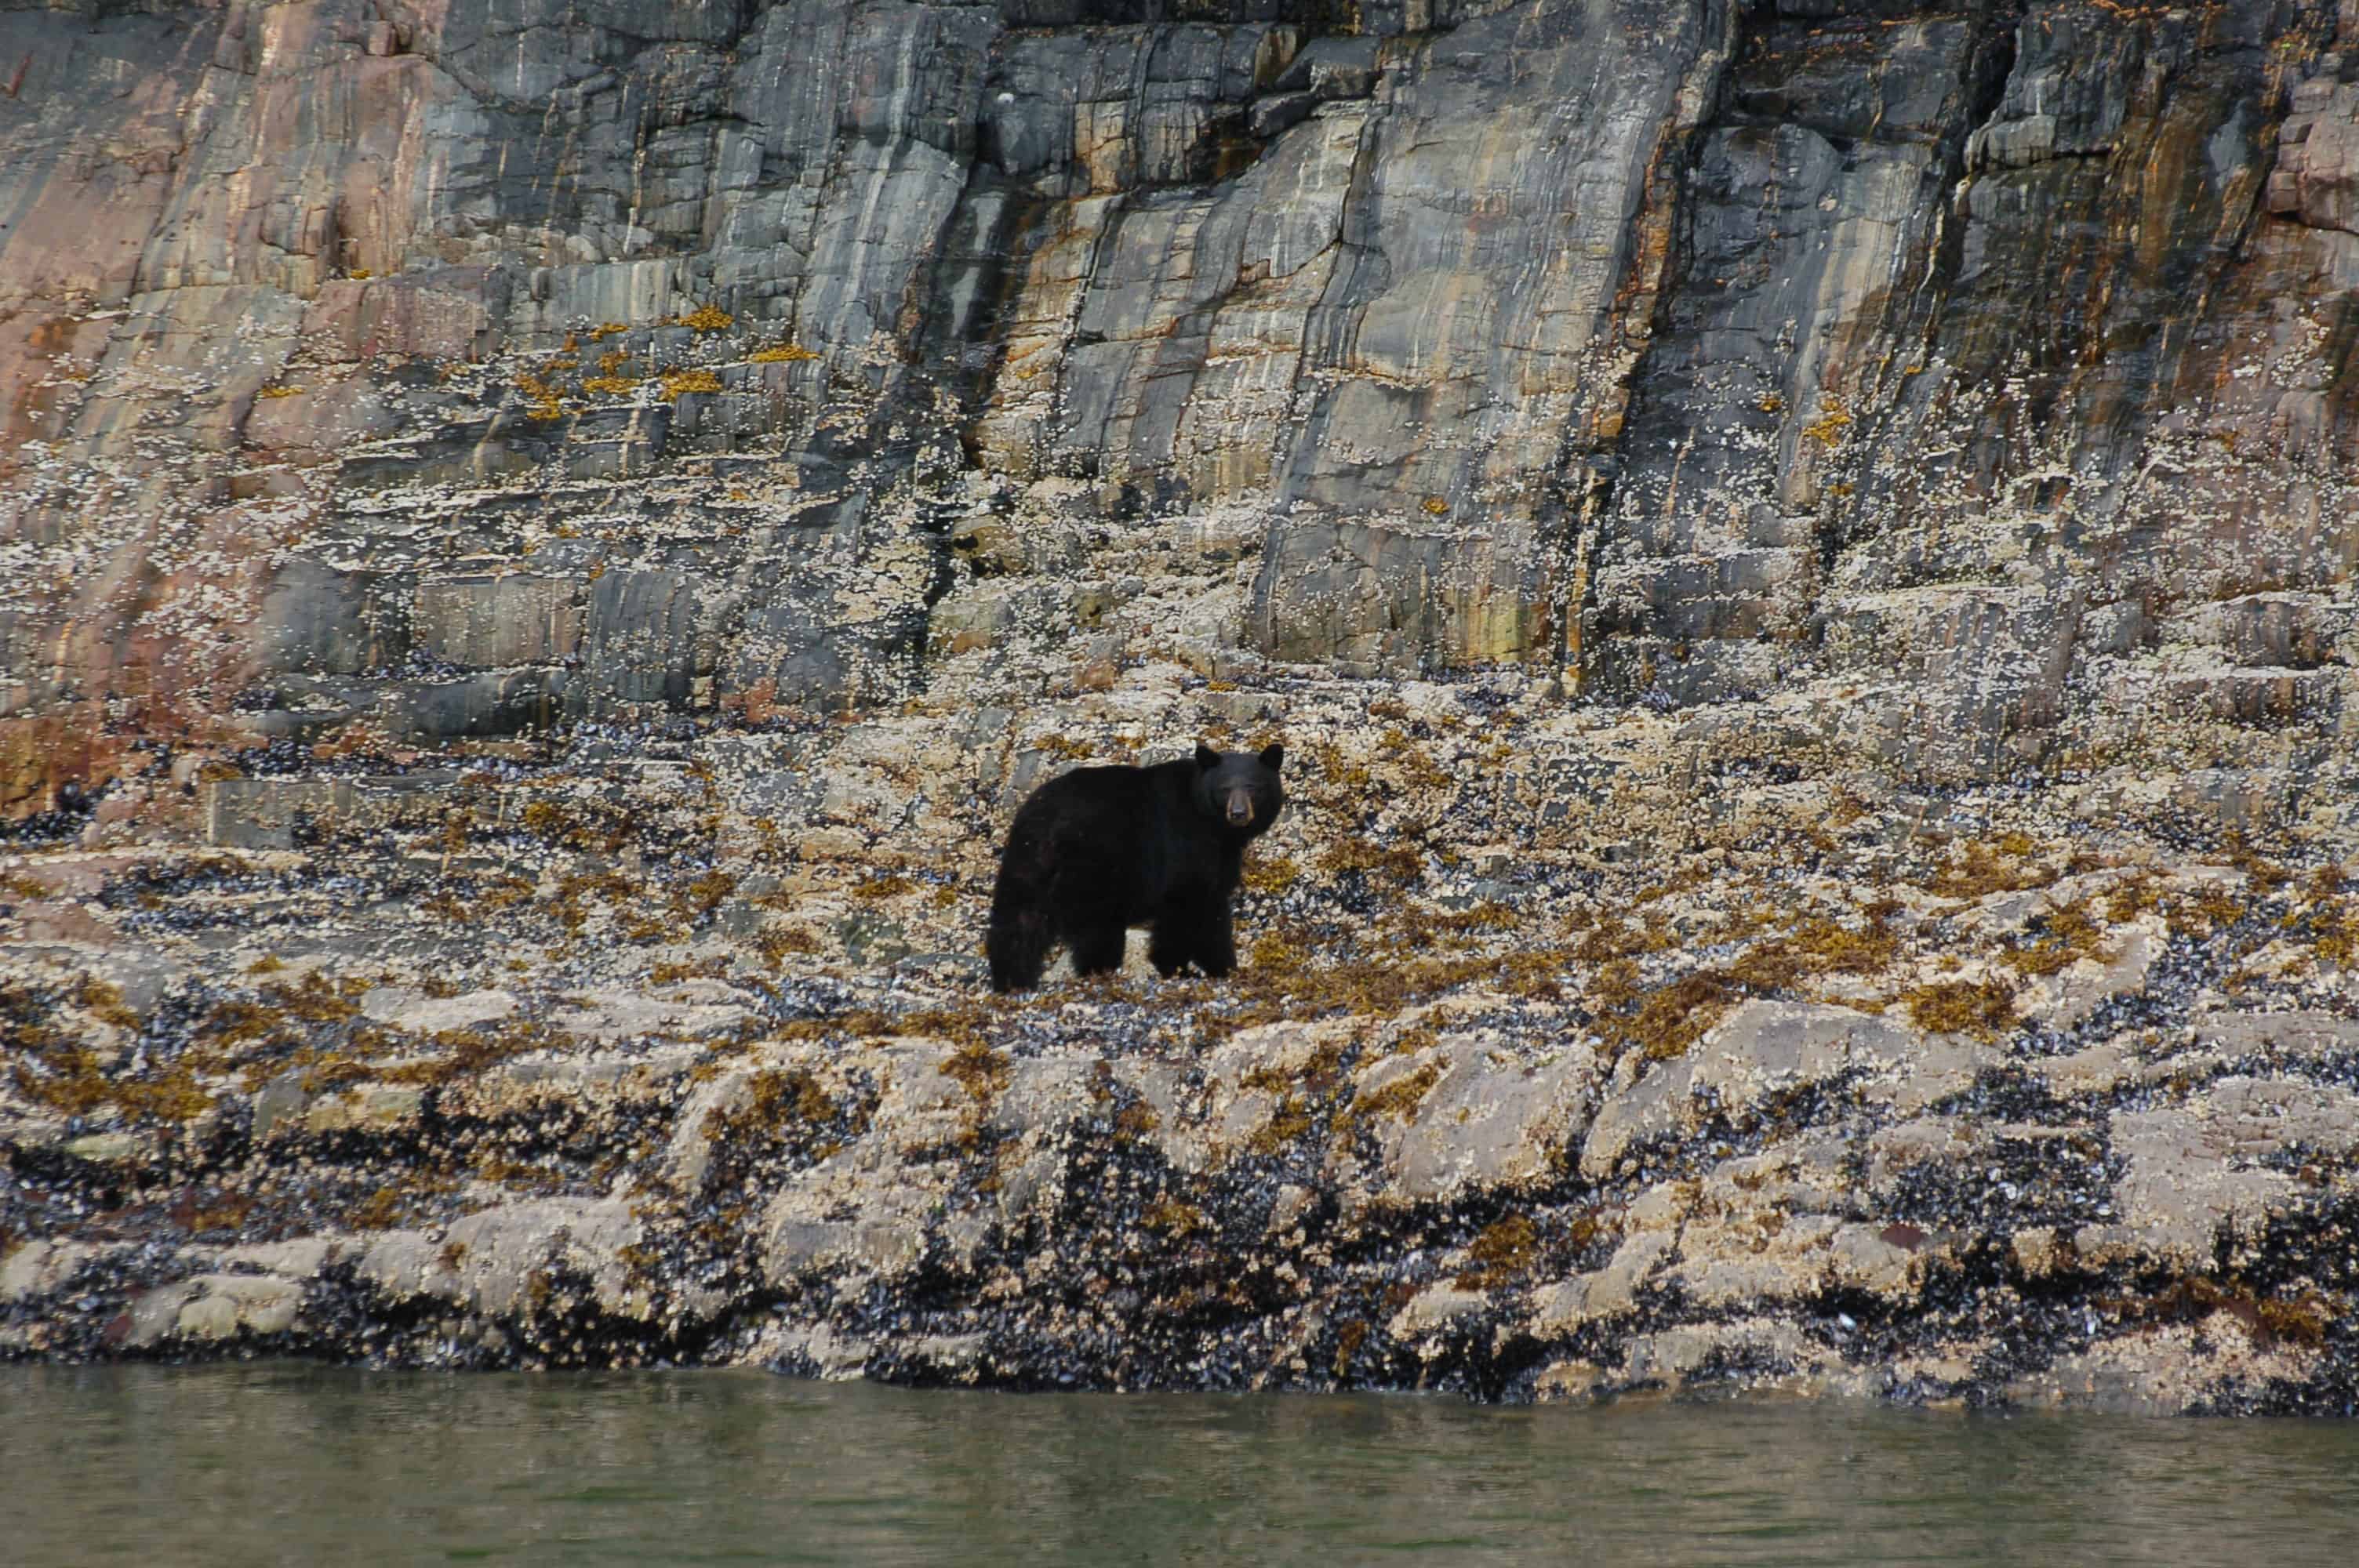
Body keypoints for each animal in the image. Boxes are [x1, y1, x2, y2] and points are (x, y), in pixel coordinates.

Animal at [987, 741, 1286, 993]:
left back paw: (1012, 981)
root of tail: (1045, 817)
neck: (1215, 826)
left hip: (1028, 859)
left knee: (1019, 918)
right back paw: (1099, 971)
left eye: (1253, 787)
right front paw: (1204, 968)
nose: (1238, 814)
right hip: (1094, 865)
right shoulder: (1186, 844)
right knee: (1095, 926)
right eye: (1224, 789)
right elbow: (1195, 907)